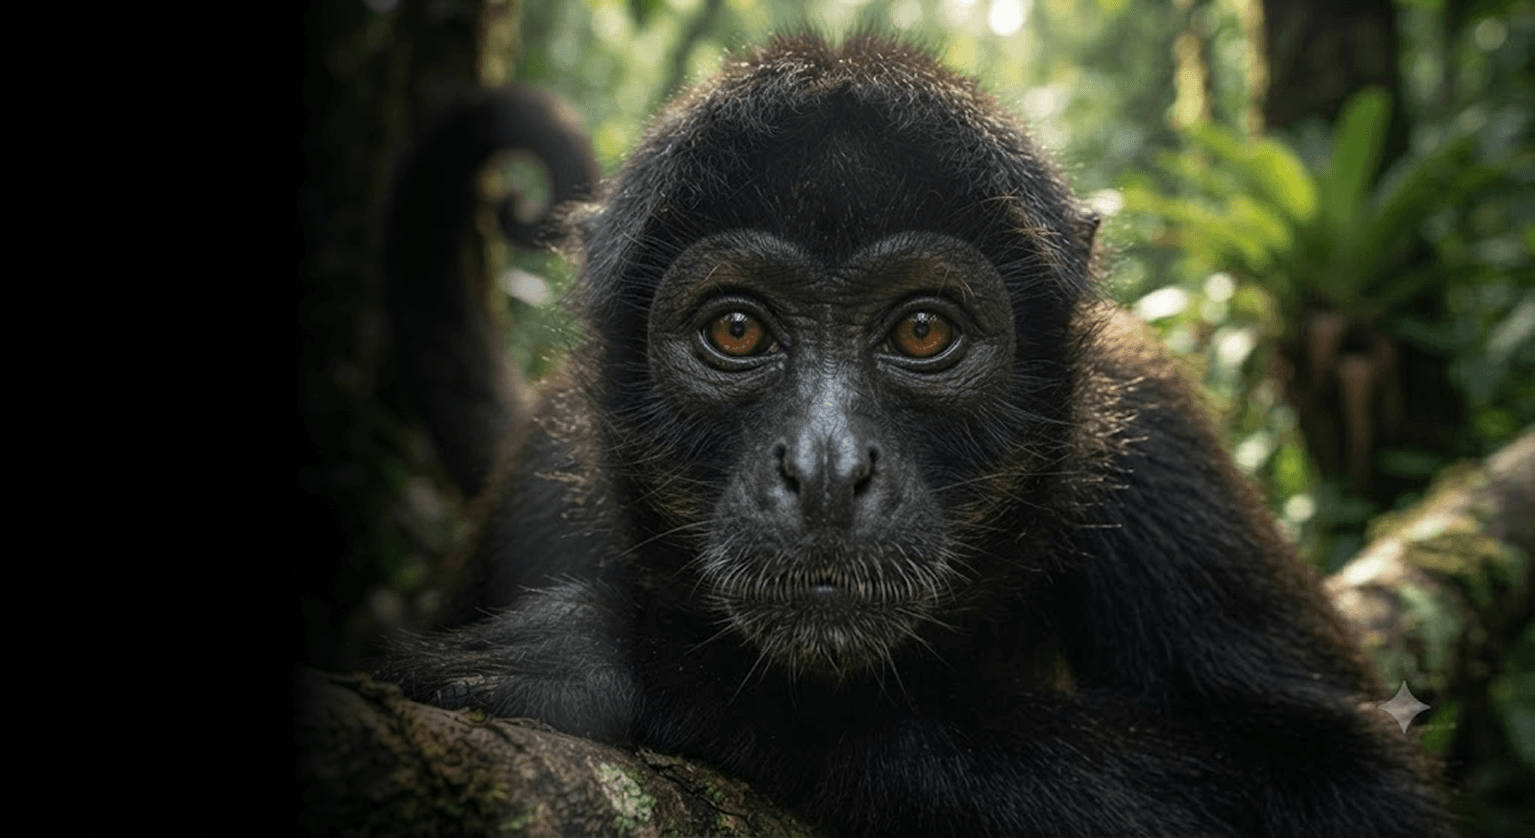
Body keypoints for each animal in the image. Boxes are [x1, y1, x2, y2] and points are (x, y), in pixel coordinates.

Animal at [375, 34, 1451, 836]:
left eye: (922, 331)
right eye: (737, 331)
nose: (824, 471)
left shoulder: (1148, 428)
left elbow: (1358, 790)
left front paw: (660, 669)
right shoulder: (552, 472)